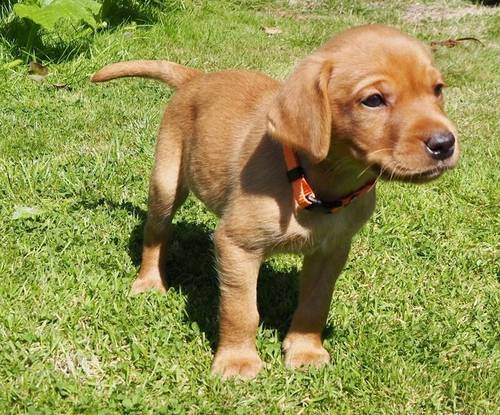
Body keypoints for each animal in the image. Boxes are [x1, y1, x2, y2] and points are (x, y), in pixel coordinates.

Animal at [92, 24, 458, 378]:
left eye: (438, 89)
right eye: (373, 100)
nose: (445, 143)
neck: (317, 183)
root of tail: (196, 78)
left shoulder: (332, 251)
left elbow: (315, 305)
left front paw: (305, 351)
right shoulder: (236, 245)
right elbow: (241, 310)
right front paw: (237, 361)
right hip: (166, 182)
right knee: (156, 233)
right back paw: (150, 281)